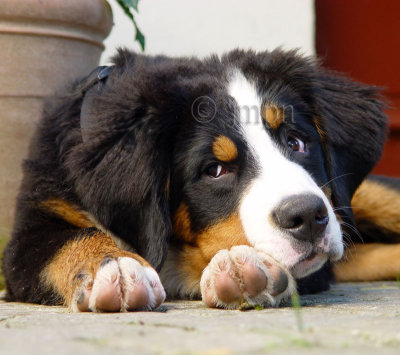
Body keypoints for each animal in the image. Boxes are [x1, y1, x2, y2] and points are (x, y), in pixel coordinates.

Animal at [2, 48, 396, 312]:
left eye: (296, 142)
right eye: (215, 170)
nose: (308, 217)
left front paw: (244, 268)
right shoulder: (29, 232)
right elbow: (74, 240)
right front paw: (116, 268)